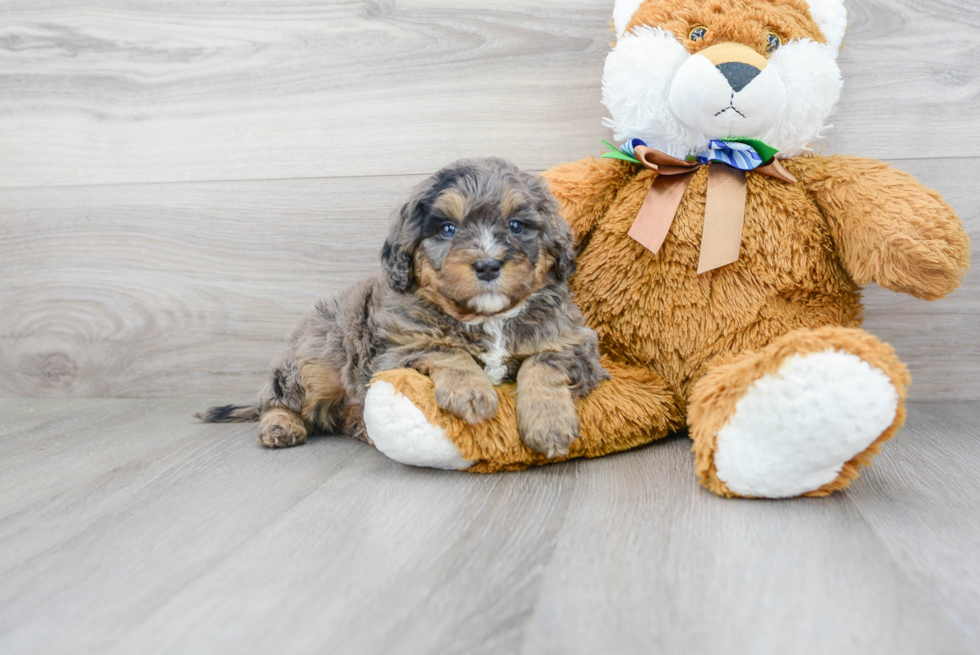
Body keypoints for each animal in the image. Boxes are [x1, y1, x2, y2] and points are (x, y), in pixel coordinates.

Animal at [198, 157, 604, 458]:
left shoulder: (575, 343)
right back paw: (281, 425)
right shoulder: (398, 350)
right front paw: (471, 391)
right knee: (279, 401)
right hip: (316, 361)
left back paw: (361, 426)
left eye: (517, 225)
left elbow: (542, 364)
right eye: (447, 229)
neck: (487, 318)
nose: (488, 266)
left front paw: (549, 422)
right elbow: (446, 351)